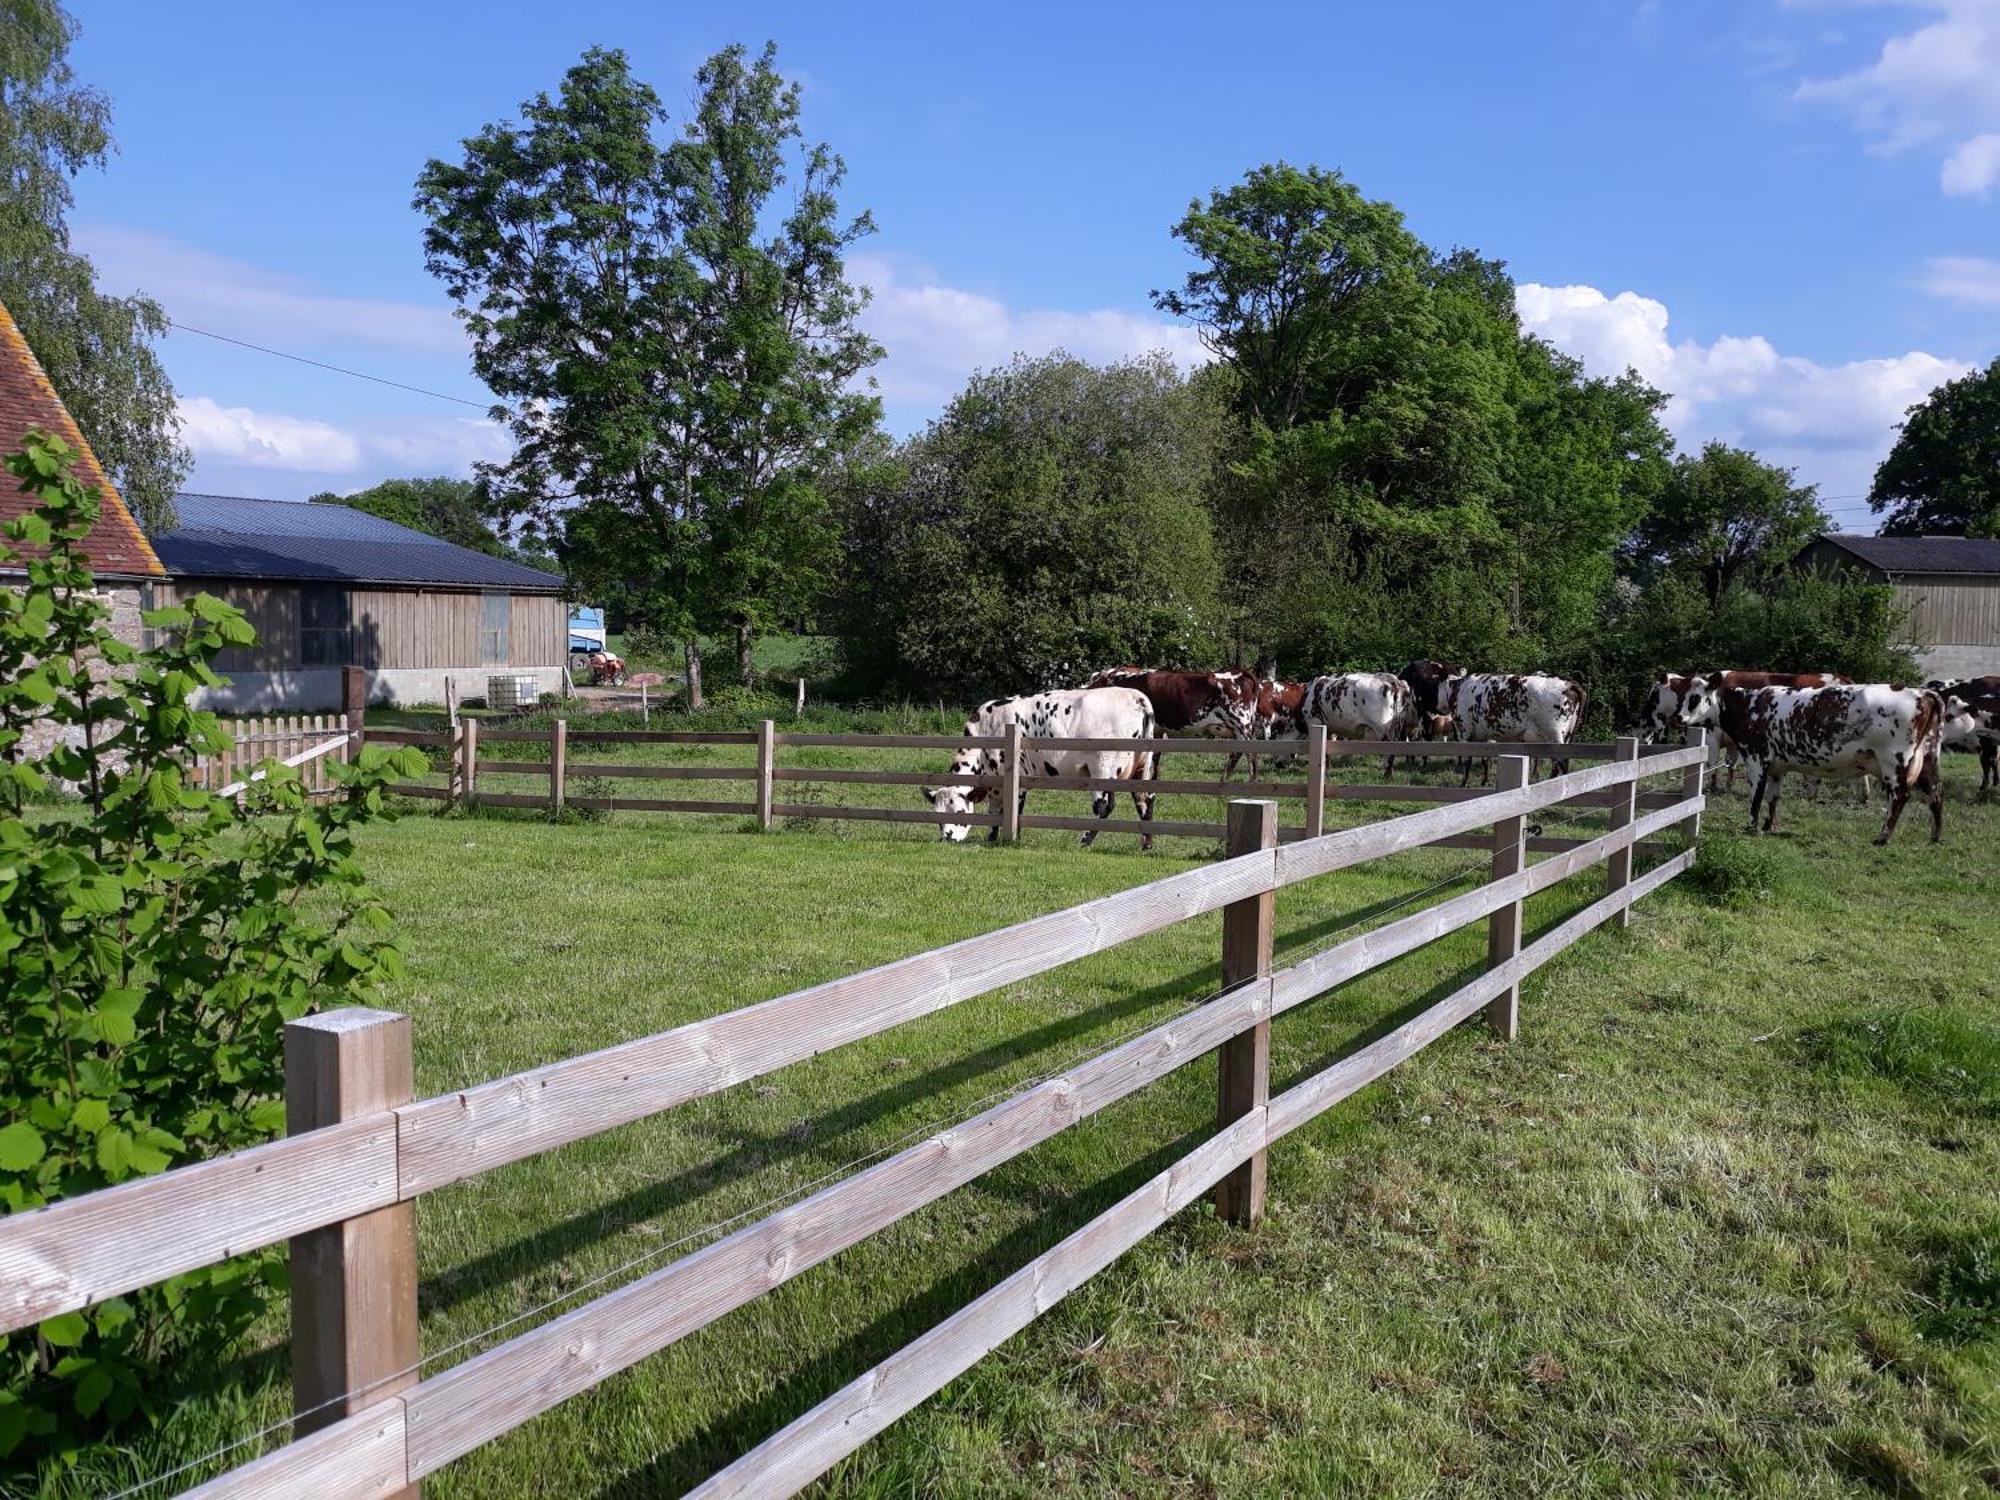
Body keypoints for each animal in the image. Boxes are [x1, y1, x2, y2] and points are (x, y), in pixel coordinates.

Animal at [920, 692, 1160, 848]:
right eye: (937, 817)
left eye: (960, 812)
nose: (948, 838)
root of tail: (1136, 696)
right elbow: (996, 811)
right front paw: (994, 837)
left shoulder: (1012, 780)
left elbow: (1010, 811)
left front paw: (1009, 839)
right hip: (1138, 770)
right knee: (1145, 800)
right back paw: (1146, 844)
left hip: (1103, 769)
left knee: (1104, 807)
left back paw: (1084, 840)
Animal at [1304, 672, 1432, 780]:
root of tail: (1393, 680)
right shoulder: (1330, 727)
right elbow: (1329, 748)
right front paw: (1328, 768)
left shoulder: (1315, 721)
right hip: (1395, 728)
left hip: (1383, 730)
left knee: (1389, 751)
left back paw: (1386, 776)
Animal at [1448, 672, 1584, 788]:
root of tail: (1569, 684)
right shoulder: (1481, 736)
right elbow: (1484, 759)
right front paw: (1484, 781)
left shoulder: (1463, 730)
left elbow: (1468, 761)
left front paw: (1463, 783)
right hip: (1566, 737)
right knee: (1562, 763)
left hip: (1554, 736)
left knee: (1559, 763)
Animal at [1720, 684, 1952, 848]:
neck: (1750, 705)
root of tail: (1922, 693)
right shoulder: (1777, 768)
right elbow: (1772, 797)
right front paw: (1769, 826)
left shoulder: (1756, 759)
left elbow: (1756, 797)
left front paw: (1751, 827)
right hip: (1928, 760)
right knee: (1936, 792)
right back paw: (1936, 836)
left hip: (1894, 761)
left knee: (1900, 796)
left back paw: (1882, 837)